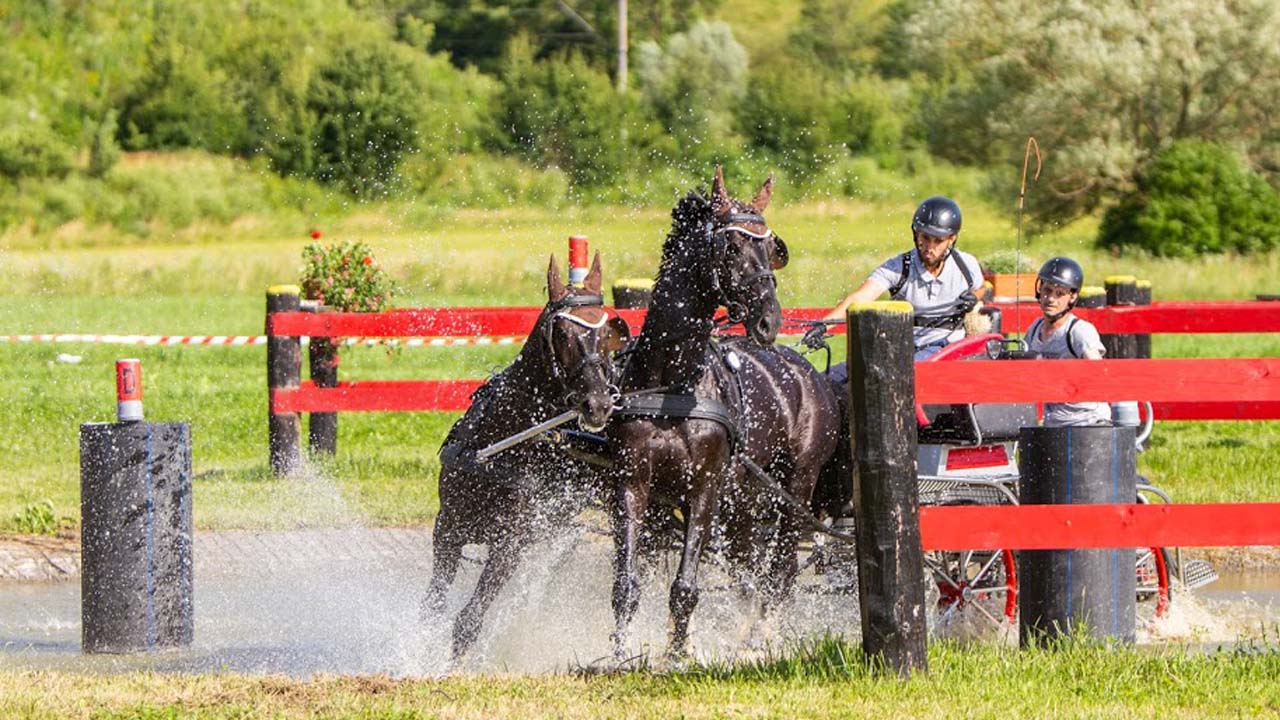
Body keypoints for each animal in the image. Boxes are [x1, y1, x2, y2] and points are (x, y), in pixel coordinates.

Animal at [427, 252, 632, 655]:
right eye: (563, 334)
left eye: (606, 336)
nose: (599, 404)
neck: (497, 447)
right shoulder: (448, 528)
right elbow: (432, 606)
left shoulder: (510, 543)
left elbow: (468, 620)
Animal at [606, 166, 839, 655]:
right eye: (731, 247)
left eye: (772, 249)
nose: (769, 319)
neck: (672, 384)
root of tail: (811, 373)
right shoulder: (633, 484)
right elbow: (627, 584)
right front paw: (620, 653)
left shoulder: (704, 489)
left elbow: (685, 588)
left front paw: (678, 655)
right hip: (743, 505)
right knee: (748, 574)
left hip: (795, 488)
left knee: (780, 572)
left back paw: (766, 637)